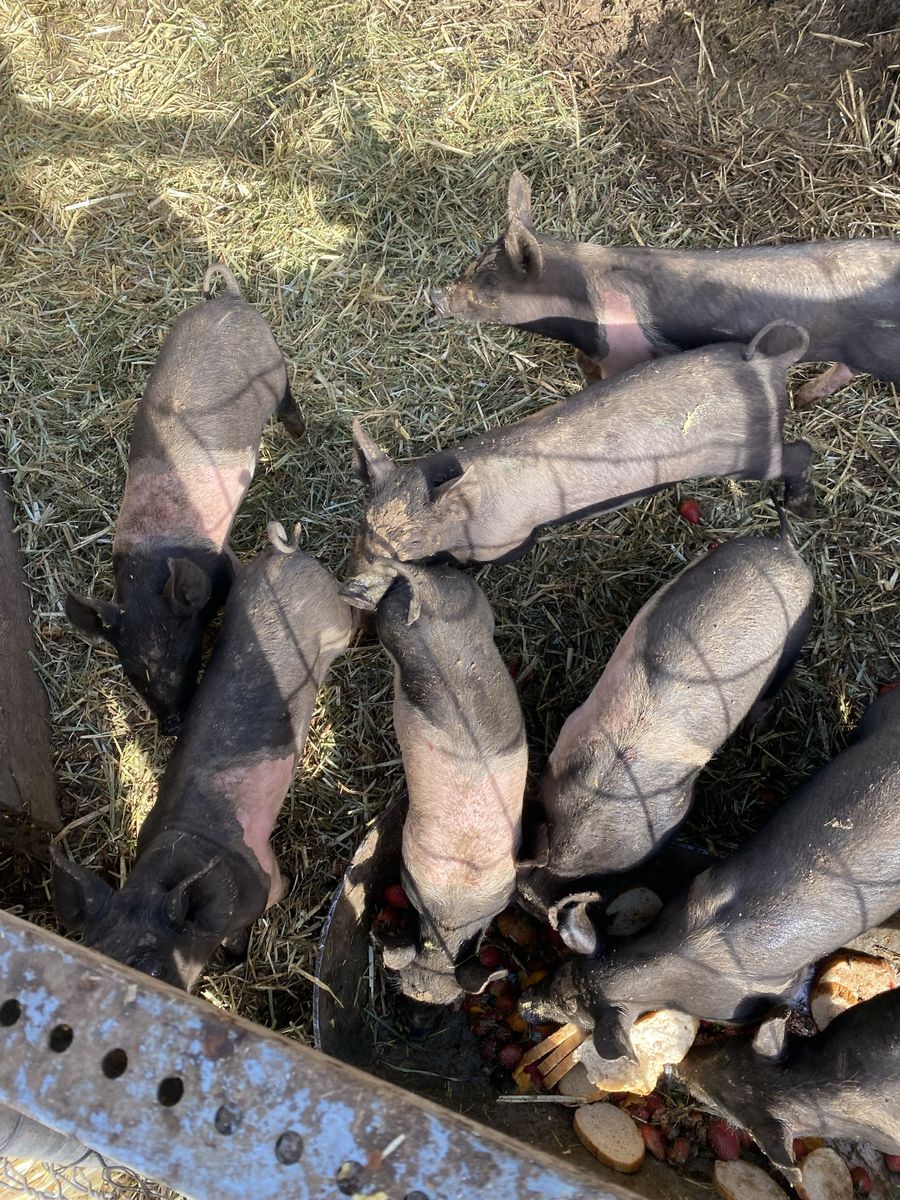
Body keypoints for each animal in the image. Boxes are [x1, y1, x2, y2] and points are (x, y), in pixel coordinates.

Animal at [51, 523, 352, 989]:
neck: (186, 847)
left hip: (337, 619)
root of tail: (287, 554)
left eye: (155, 968)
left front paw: (237, 953)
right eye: (94, 953)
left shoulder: (266, 876)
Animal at [66, 264, 305, 734]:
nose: (173, 725)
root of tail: (229, 300)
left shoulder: (221, 564)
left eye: (188, 655)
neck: (149, 565)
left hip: (273, 366)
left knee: (287, 397)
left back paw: (299, 435)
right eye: (131, 671)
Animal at [342, 320, 814, 612]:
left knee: (800, 451)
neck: (463, 522)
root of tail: (762, 359)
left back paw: (800, 503)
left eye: (408, 544)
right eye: (363, 529)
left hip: (749, 456)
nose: (351, 594)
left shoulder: (510, 538)